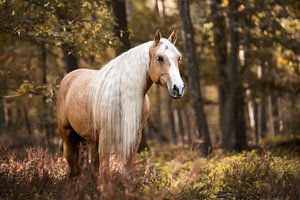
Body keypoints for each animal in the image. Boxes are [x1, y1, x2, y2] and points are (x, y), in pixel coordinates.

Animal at [56, 30, 185, 181]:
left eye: (179, 58)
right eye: (159, 58)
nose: (178, 88)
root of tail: (69, 77)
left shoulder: (134, 137)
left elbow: (127, 167)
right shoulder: (106, 136)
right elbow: (105, 169)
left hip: (90, 139)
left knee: (92, 165)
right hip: (67, 134)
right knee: (72, 162)